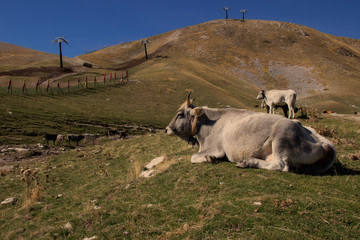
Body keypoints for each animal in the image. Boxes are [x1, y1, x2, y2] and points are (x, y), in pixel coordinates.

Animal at [165, 93, 336, 173]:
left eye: (180, 114)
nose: (166, 129)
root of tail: (324, 142)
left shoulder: (216, 148)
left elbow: (193, 157)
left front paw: (209, 158)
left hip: (282, 137)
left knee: (280, 165)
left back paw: (248, 162)